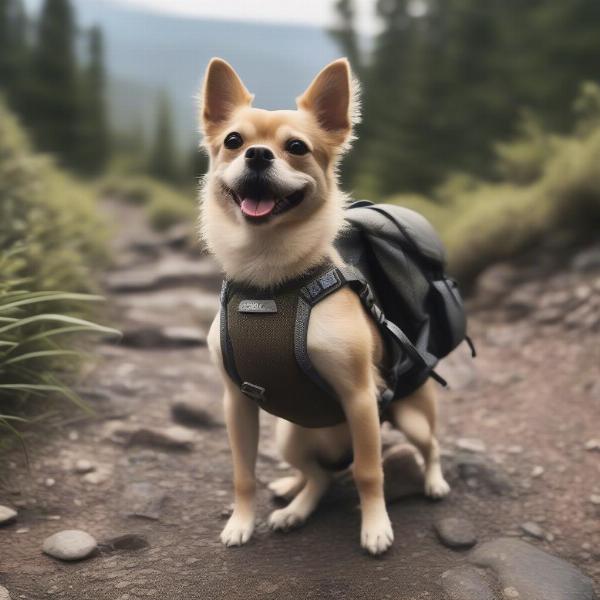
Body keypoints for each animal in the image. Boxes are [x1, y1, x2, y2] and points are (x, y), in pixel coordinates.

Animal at [199, 58, 448, 556]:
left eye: (297, 147)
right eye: (233, 141)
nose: (257, 155)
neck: (270, 283)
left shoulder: (360, 399)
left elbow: (370, 472)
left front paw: (375, 528)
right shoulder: (237, 405)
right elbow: (242, 474)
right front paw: (241, 522)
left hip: (410, 417)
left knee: (428, 446)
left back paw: (433, 482)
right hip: (290, 434)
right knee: (318, 476)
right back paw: (293, 502)